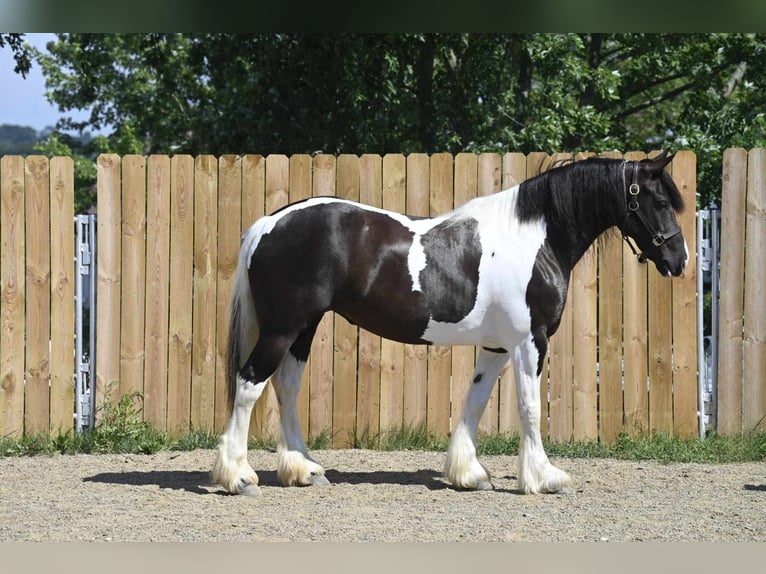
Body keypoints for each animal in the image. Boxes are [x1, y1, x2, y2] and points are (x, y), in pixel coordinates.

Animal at [212, 151, 688, 498]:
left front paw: (469, 473)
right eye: (661, 202)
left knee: (287, 386)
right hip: (282, 328)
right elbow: (530, 408)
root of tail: (268, 223)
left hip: (303, 328)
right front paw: (544, 478)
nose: (679, 260)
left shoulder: (497, 347)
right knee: (250, 384)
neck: (536, 238)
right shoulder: (529, 343)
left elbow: (475, 401)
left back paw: (303, 469)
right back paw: (238, 477)